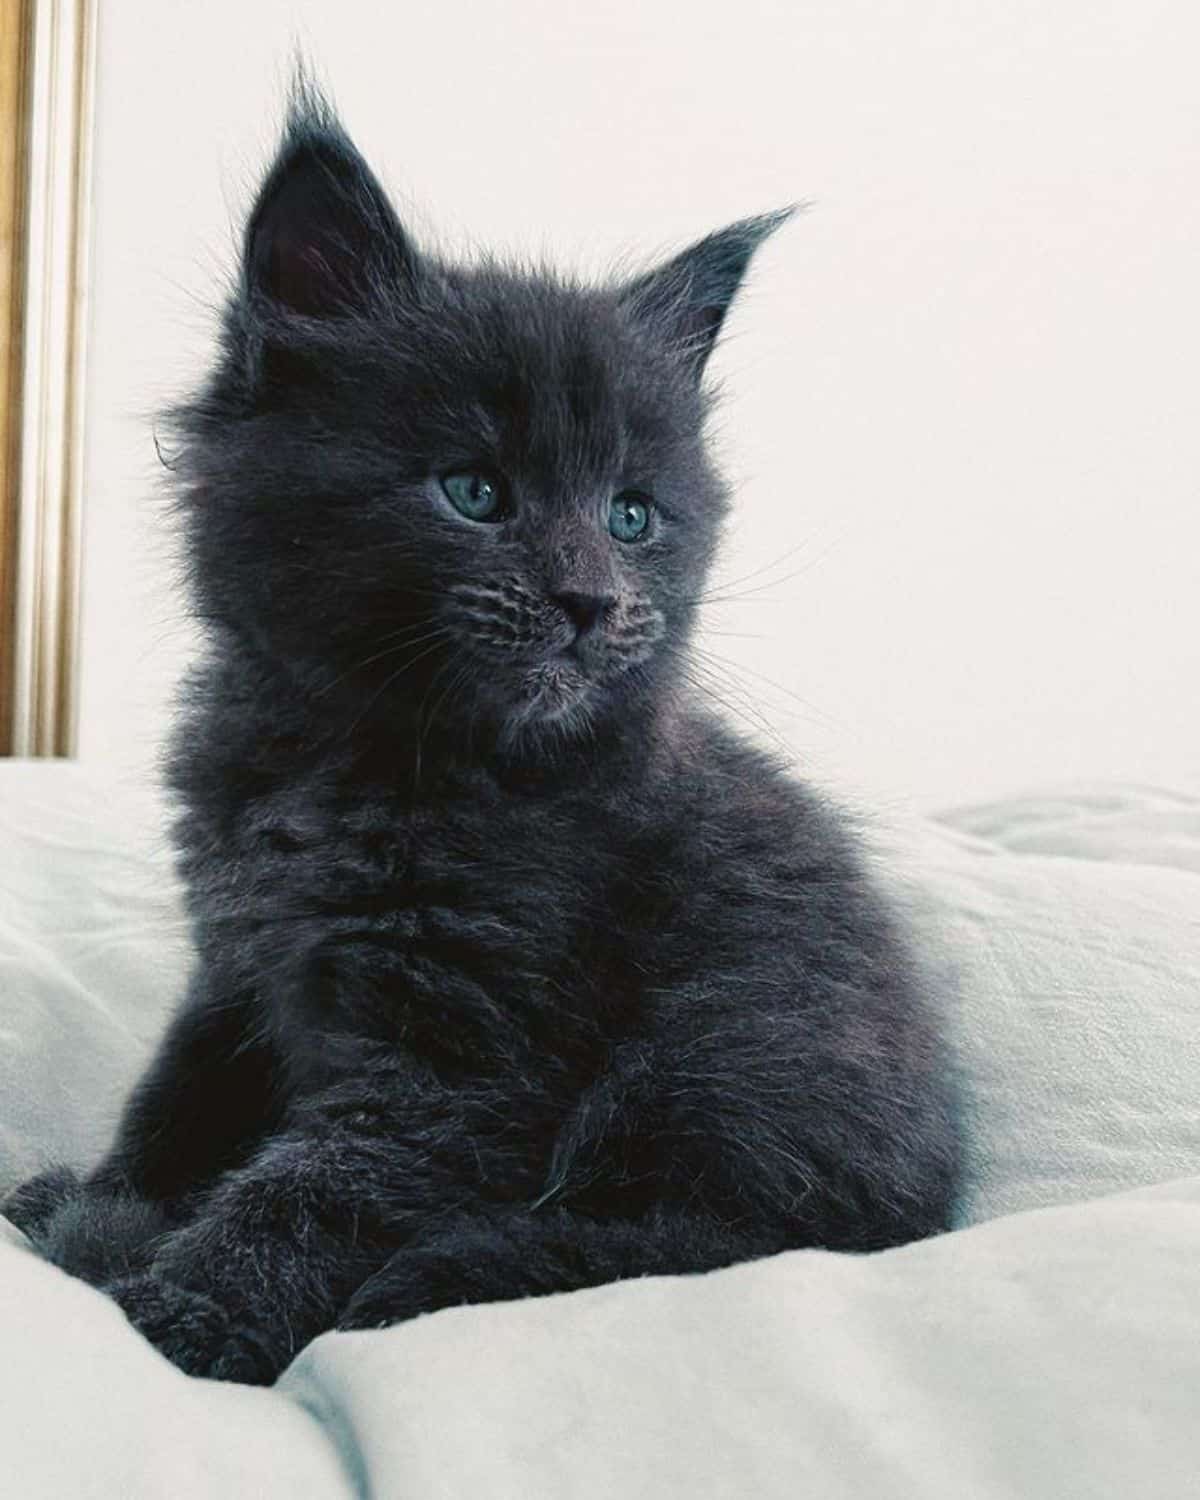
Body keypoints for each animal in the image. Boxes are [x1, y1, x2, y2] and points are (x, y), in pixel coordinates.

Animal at [4, 90, 960, 1380]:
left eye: (632, 515)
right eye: (474, 493)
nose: (590, 601)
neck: (359, 758)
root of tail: (934, 1207)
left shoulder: (468, 1053)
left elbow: (317, 1191)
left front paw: (178, 1314)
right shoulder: (240, 969)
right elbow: (173, 1106)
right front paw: (101, 1202)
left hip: (724, 1052)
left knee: (687, 1240)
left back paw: (439, 1273)